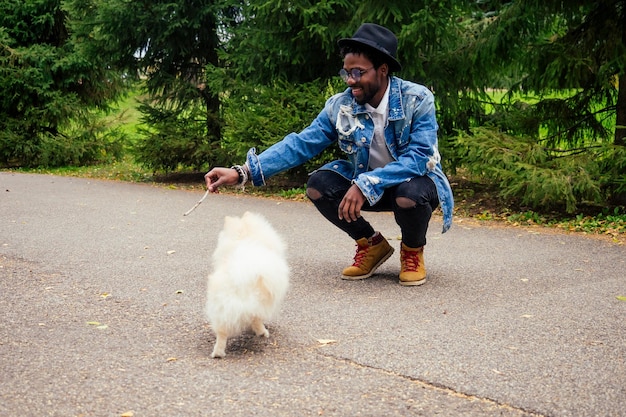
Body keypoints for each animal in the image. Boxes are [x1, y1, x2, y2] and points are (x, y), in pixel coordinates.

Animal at [207, 211, 290, 358]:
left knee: (221, 333)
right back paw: (263, 333)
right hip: (258, 302)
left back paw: (218, 353)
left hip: (220, 310)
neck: (244, 236)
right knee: (255, 319)